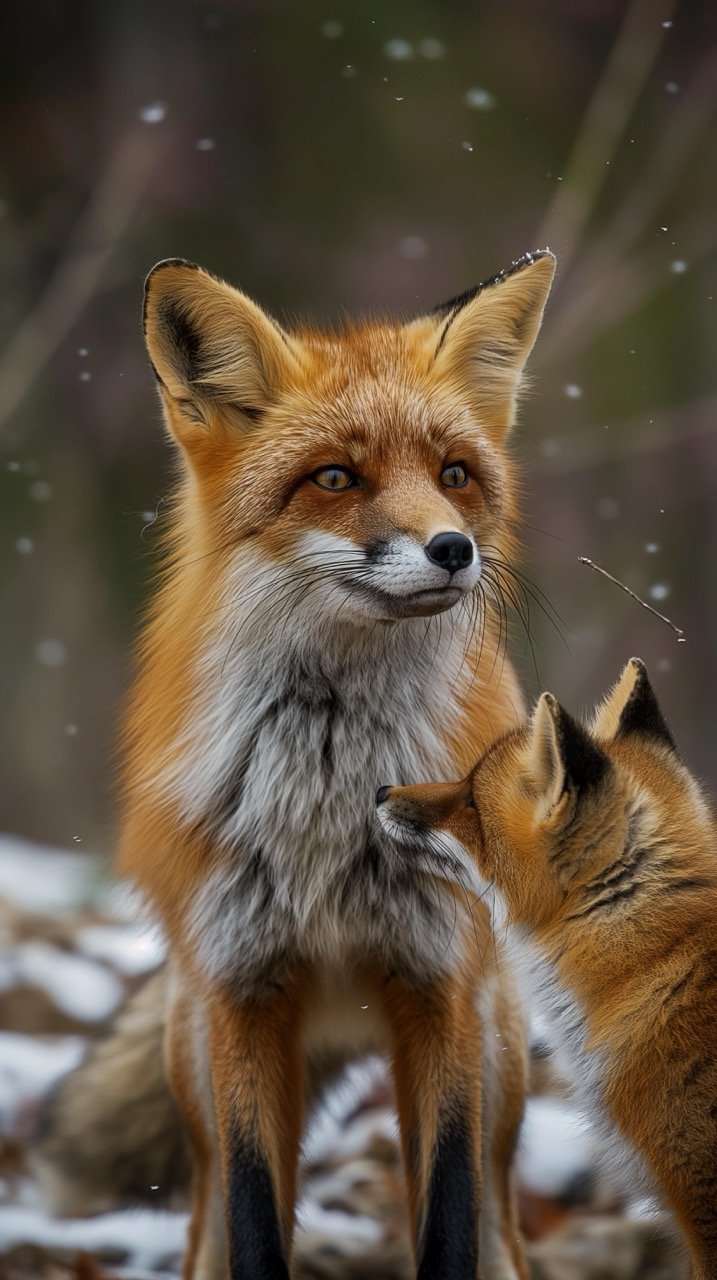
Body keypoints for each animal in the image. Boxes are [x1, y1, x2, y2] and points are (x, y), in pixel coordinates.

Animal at [37, 252, 555, 1280]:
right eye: (334, 477)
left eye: (454, 475)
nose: (452, 549)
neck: (328, 794)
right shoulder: (246, 995)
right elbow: (252, 1218)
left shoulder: (435, 985)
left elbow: (445, 1219)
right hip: (197, 1058)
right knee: (206, 1219)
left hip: (496, 1063)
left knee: (496, 1225)